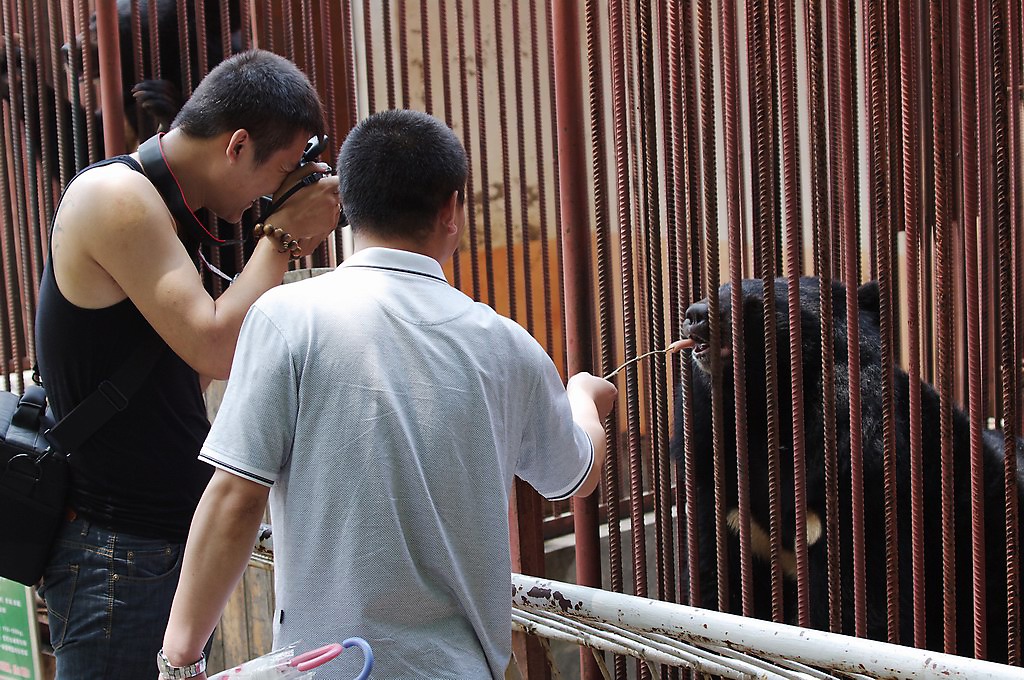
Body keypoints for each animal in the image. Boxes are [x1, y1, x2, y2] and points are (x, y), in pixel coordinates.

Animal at [671, 274, 1024, 659]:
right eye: (717, 289)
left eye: (755, 304)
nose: (694, 315)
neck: (767, 420)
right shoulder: (718, 484)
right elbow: (714, 580)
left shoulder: (863, 486)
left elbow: (857, 602)